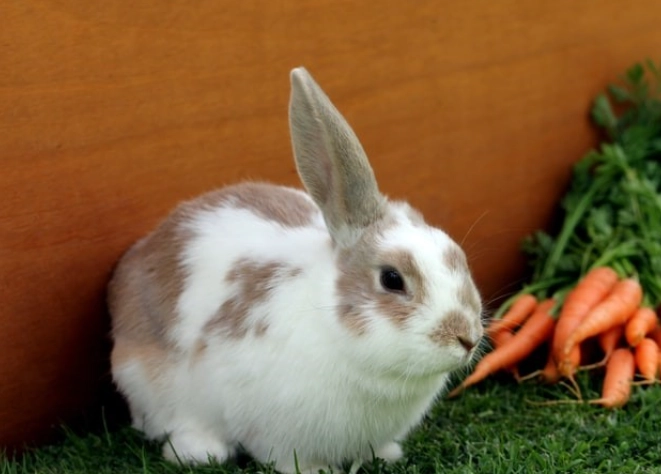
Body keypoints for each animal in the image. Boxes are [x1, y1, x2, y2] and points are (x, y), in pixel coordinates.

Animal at [107, 67, 484, 474]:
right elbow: (290, 457)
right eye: (392, 279)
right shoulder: (274, 429)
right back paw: (200, 450)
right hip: (148, 382)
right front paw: (320, 471)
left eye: (457, 255)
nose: (467, 337)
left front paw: (387, 454)